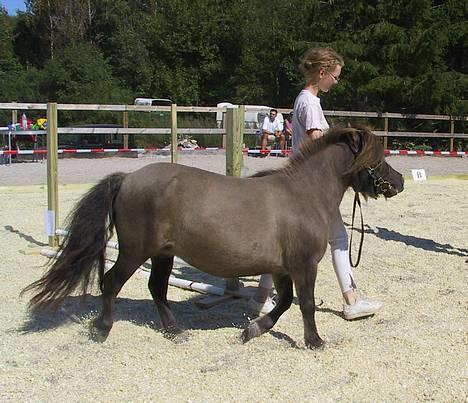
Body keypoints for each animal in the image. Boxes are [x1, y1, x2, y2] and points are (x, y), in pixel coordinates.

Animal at [22, 128, 402, 348]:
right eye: (377, 157)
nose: (398, 182)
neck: (303, 195)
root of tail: (128, 178)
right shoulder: (303, 265)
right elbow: (305, 304)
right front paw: (315, 341)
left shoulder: (282, 268)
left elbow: (282, 304)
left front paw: (252, 330)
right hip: (134, 251)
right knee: (112, 282)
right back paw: (102, 329)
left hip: (163, 253)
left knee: (157, 288)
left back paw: (174, 331)